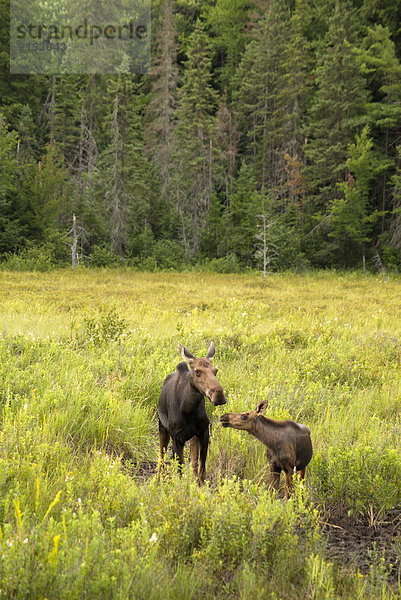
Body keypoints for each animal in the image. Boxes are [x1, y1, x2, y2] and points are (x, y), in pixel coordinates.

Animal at [157, 342, 225, 482]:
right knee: (161, 458)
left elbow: (201, 469)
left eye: (215, 371)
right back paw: (157, 481)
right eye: (197, 371)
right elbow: (180, 472)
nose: (219, 395)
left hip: (193, 437)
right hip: (163, 429)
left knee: (193, 463)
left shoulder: (204, 433)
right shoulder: (177, 439)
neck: (188, 408)